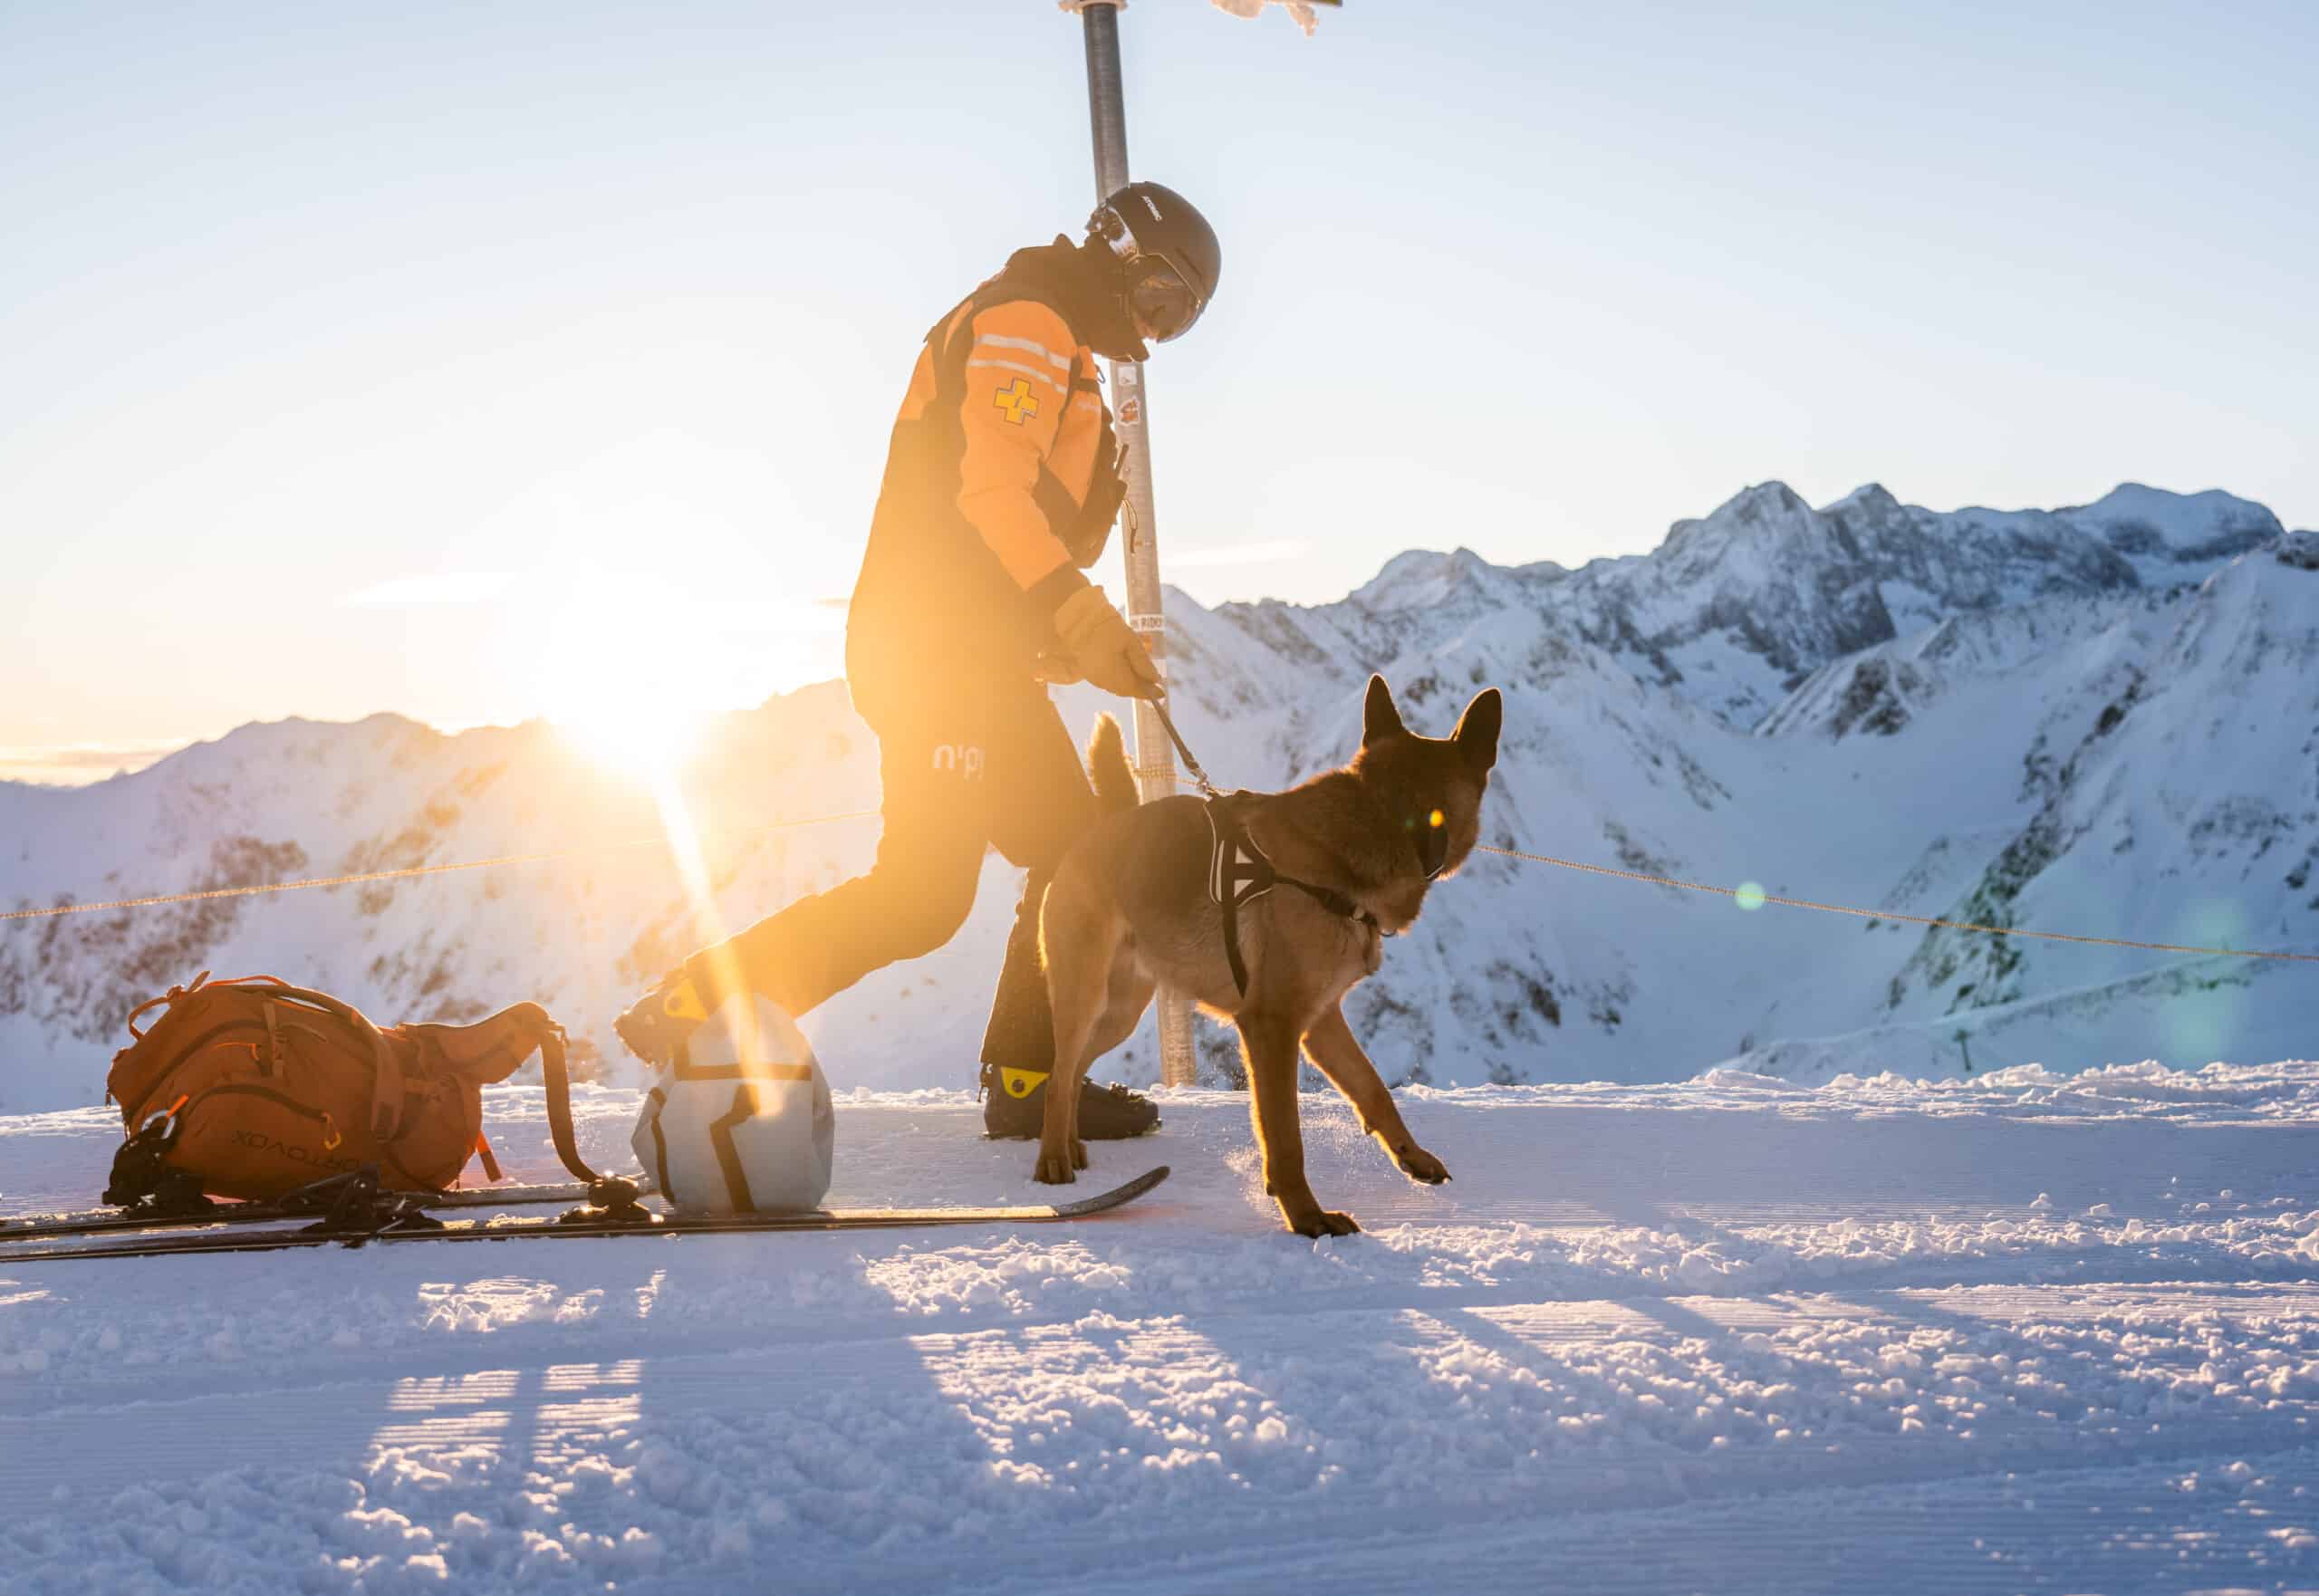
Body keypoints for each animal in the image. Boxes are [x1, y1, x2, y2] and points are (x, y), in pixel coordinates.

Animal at [1034, 672, 1502, 1234]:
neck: (1382, 817)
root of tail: (1104, 828)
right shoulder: (1271, 1025)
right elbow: (1284, 1135)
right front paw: (1306, 1217)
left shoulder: (1320, 1022)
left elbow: (1373, 1089)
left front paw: (1412, 1156)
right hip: (1085, 996)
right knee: (1059, 1072)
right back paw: (1052, 1160)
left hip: (1119, 1012)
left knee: (1071, 1070)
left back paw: (1072, 1145)